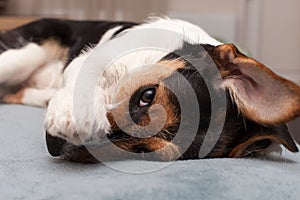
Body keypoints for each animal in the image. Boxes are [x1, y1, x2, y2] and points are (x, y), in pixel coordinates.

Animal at [0, 17, 300, 162]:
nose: (52, 145)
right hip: (22, 55)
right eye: (148, 95)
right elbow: (88, 77)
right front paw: (73, 114)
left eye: (142, 151)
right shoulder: (90, 58)